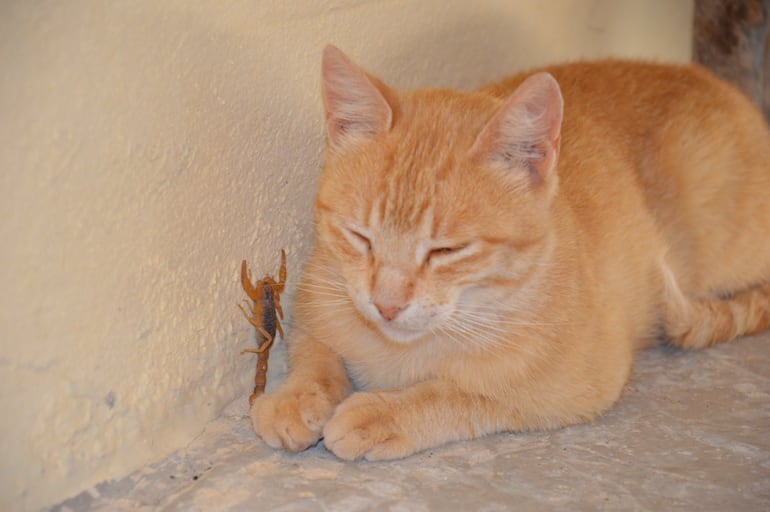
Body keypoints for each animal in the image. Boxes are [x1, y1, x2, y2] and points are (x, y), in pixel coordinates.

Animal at [250, 44, 768, 460]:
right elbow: (315, 353)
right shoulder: (316, 298)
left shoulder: (580, 383)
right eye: (360, 236)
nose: (387, 306)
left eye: (447, 250)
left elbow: (463, 394)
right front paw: (297, 398)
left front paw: (382, 414)